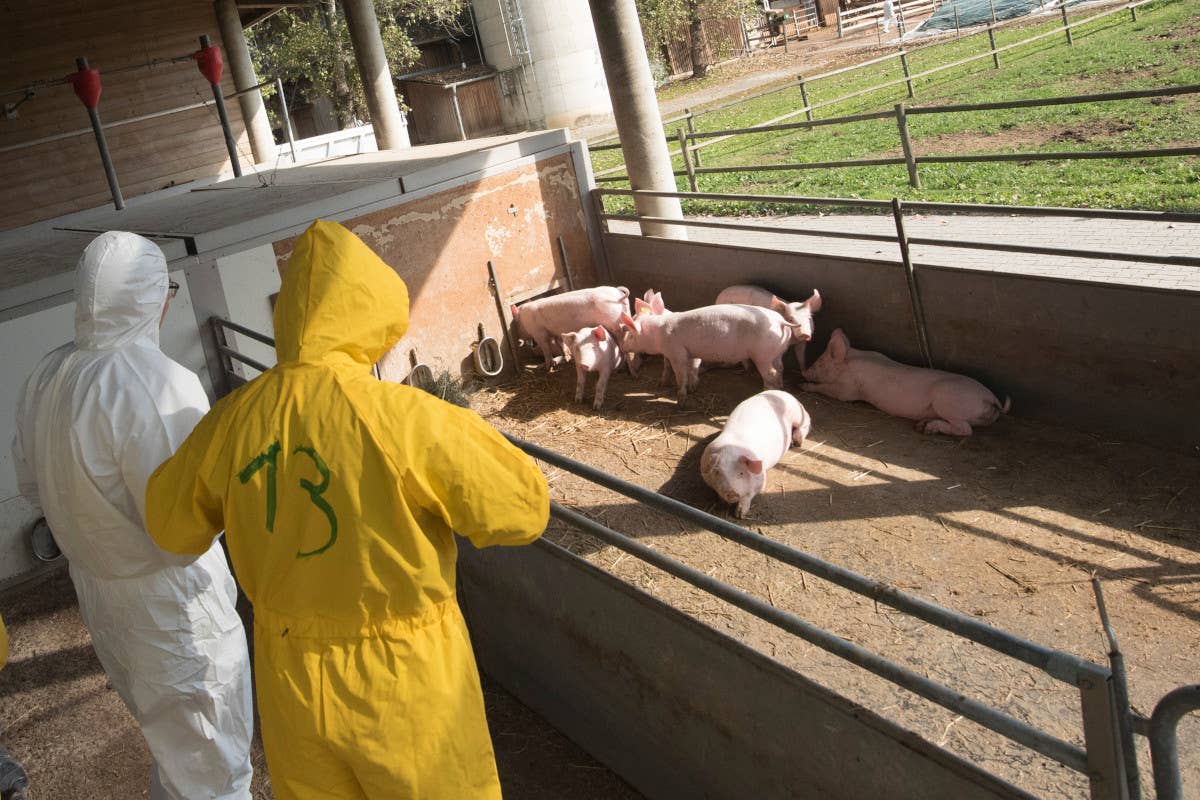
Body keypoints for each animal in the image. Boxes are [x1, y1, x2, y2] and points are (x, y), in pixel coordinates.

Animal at [619, 303, 796, 402]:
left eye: (630, 335)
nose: (622, 347)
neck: (658, 335)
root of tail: (781, 321)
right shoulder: (689, 352)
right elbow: (691, 368)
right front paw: (689, 387)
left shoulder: (677, 352)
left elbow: (681, 374)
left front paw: (681, 399)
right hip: (778, 352)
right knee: (780, 369)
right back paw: (780, 388)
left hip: (762, 355)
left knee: (771, 373)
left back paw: (767, 390)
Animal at [700, 388, 811, 520]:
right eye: (717, 473)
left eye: (741, 473)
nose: (731, 493)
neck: (731, 449)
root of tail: (782, 392)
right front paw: (722, 502)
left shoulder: (761, 479)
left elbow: (749, 495)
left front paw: (740, 515)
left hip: (798, 414)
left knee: (807, 421)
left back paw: (797, 442)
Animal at [796, 326, 1012, 434]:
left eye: (820, 364)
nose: (804, 373)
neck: (851, 361)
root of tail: (990, 399)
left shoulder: (848, 390)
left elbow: (831, 391)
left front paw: (804, 386)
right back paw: (922, 425)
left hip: (949, 402)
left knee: (965, 429)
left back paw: (927, 429)